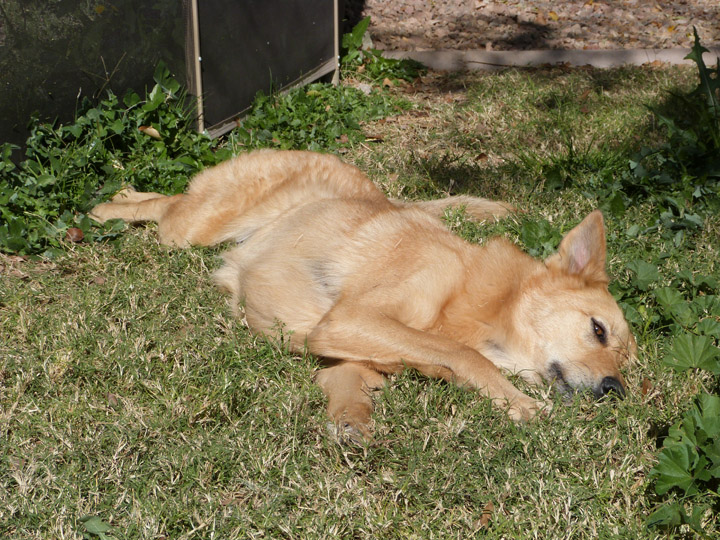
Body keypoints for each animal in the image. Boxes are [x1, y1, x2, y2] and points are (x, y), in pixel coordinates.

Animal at [91, 148, 636, 438]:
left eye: (627, 363)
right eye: (598, 330)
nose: (616, 391)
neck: (475, 299)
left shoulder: (344, 349)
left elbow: (353, 389)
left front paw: (351, 424)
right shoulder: (353, 318)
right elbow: (463, 355)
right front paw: (518, 403)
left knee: (165, 198)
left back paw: (120, 195)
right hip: (191, 230)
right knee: (165, 206)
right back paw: (104, 209)